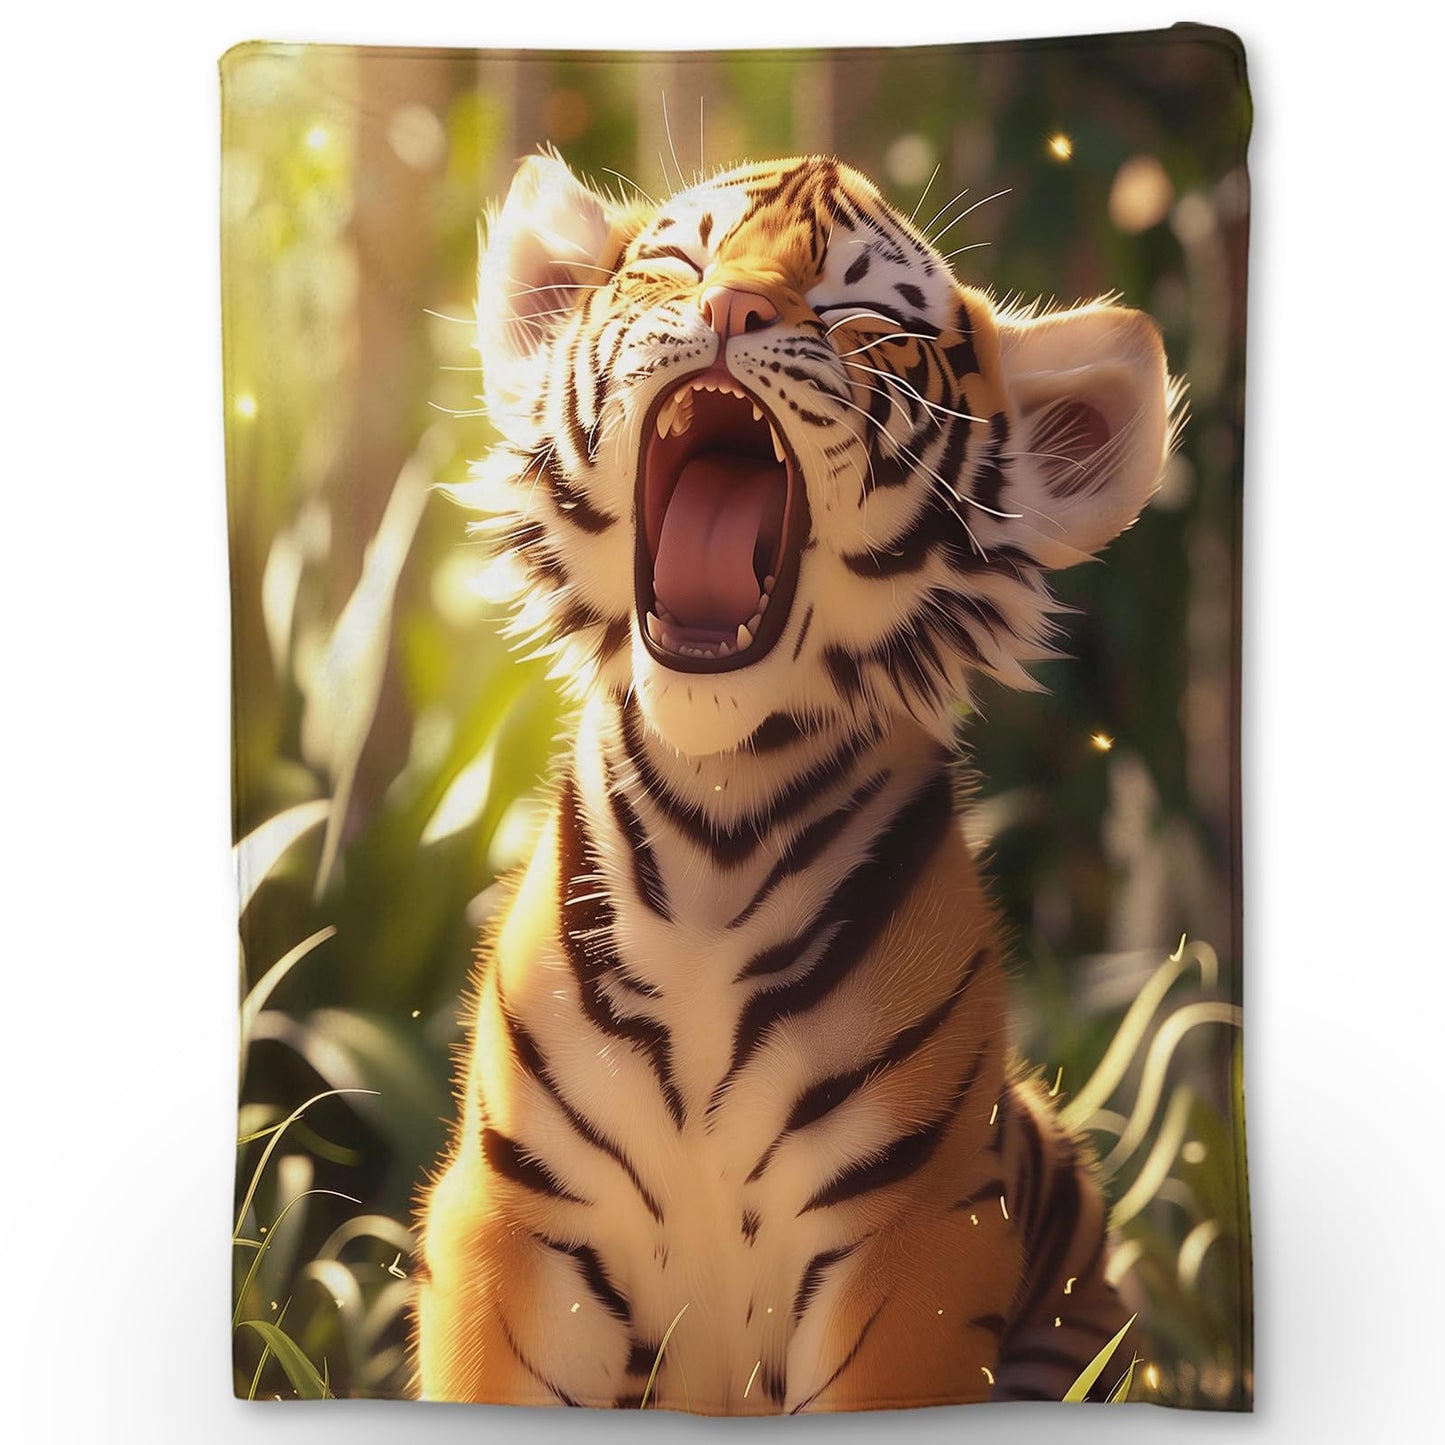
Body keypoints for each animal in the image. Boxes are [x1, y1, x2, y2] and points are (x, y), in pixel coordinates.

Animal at [414, 151, 1175, 1413]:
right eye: (679, 261)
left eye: (861, 315)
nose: (731, 309)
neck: (710, 820)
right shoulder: (514, 1216)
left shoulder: (917, 1235)